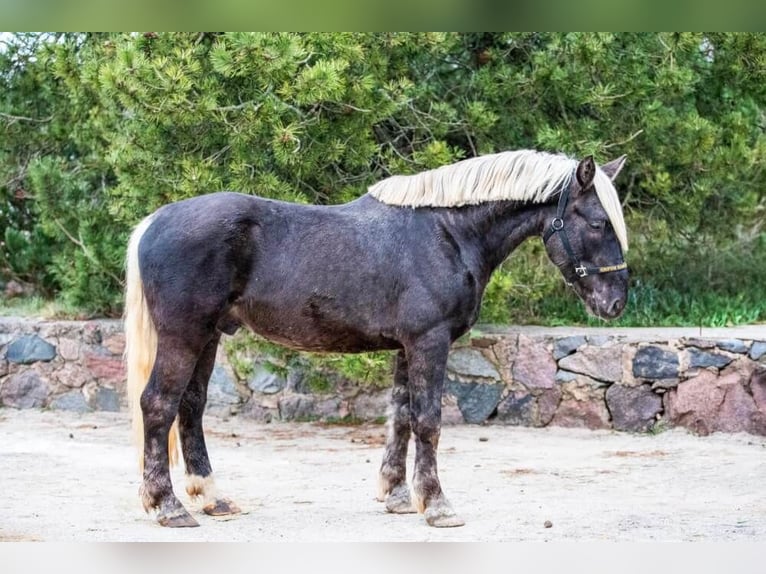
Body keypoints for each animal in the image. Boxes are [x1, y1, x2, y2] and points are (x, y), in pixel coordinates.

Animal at [124, 148, 632, 532]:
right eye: (596, 222)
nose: (615, 303)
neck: (447, 233)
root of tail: (153, 222)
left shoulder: (409, 347)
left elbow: (402, 418)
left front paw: (398, 495)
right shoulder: (430, 342)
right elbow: (428, 421)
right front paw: (438, 505)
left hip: (208, 336)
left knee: (190, 408)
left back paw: (211, 498)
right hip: (184, 335)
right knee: (159, 405)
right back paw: (167, 506)